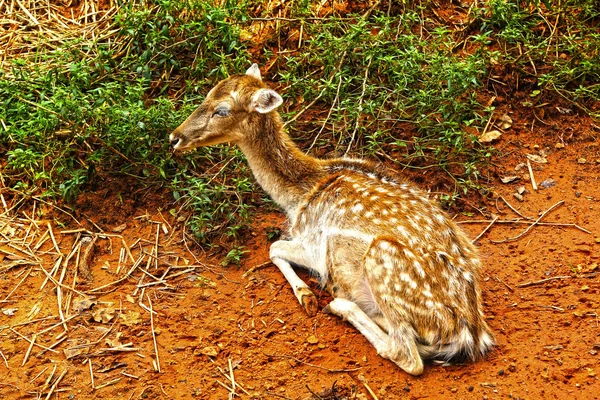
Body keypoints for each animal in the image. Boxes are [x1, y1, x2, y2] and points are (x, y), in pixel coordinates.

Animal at [168, 63, 492, 376]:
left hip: (381, 259)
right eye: (207, 94)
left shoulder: (313, 244)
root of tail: (470, 336)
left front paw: (307, 296)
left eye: (222, 109)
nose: (174, 137)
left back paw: (340, 304)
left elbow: (273, 247)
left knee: (407, 355)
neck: (300, 194)